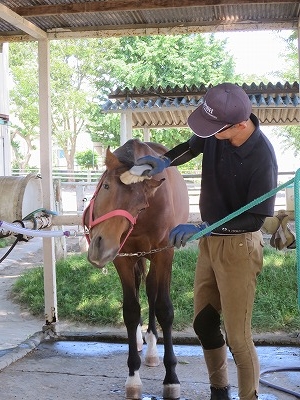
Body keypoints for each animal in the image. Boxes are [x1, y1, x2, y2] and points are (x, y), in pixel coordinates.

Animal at [83, 138, 189, 400]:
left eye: (140, 206)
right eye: (106, 186)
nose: (100, 247)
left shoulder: (164, 253)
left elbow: (164, 309)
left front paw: (171, 378)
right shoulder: (122, 257)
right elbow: (131, 311)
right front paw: (133, 378)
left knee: (152, 291)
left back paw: (151, 347)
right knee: (142, 285)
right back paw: (141, 342)